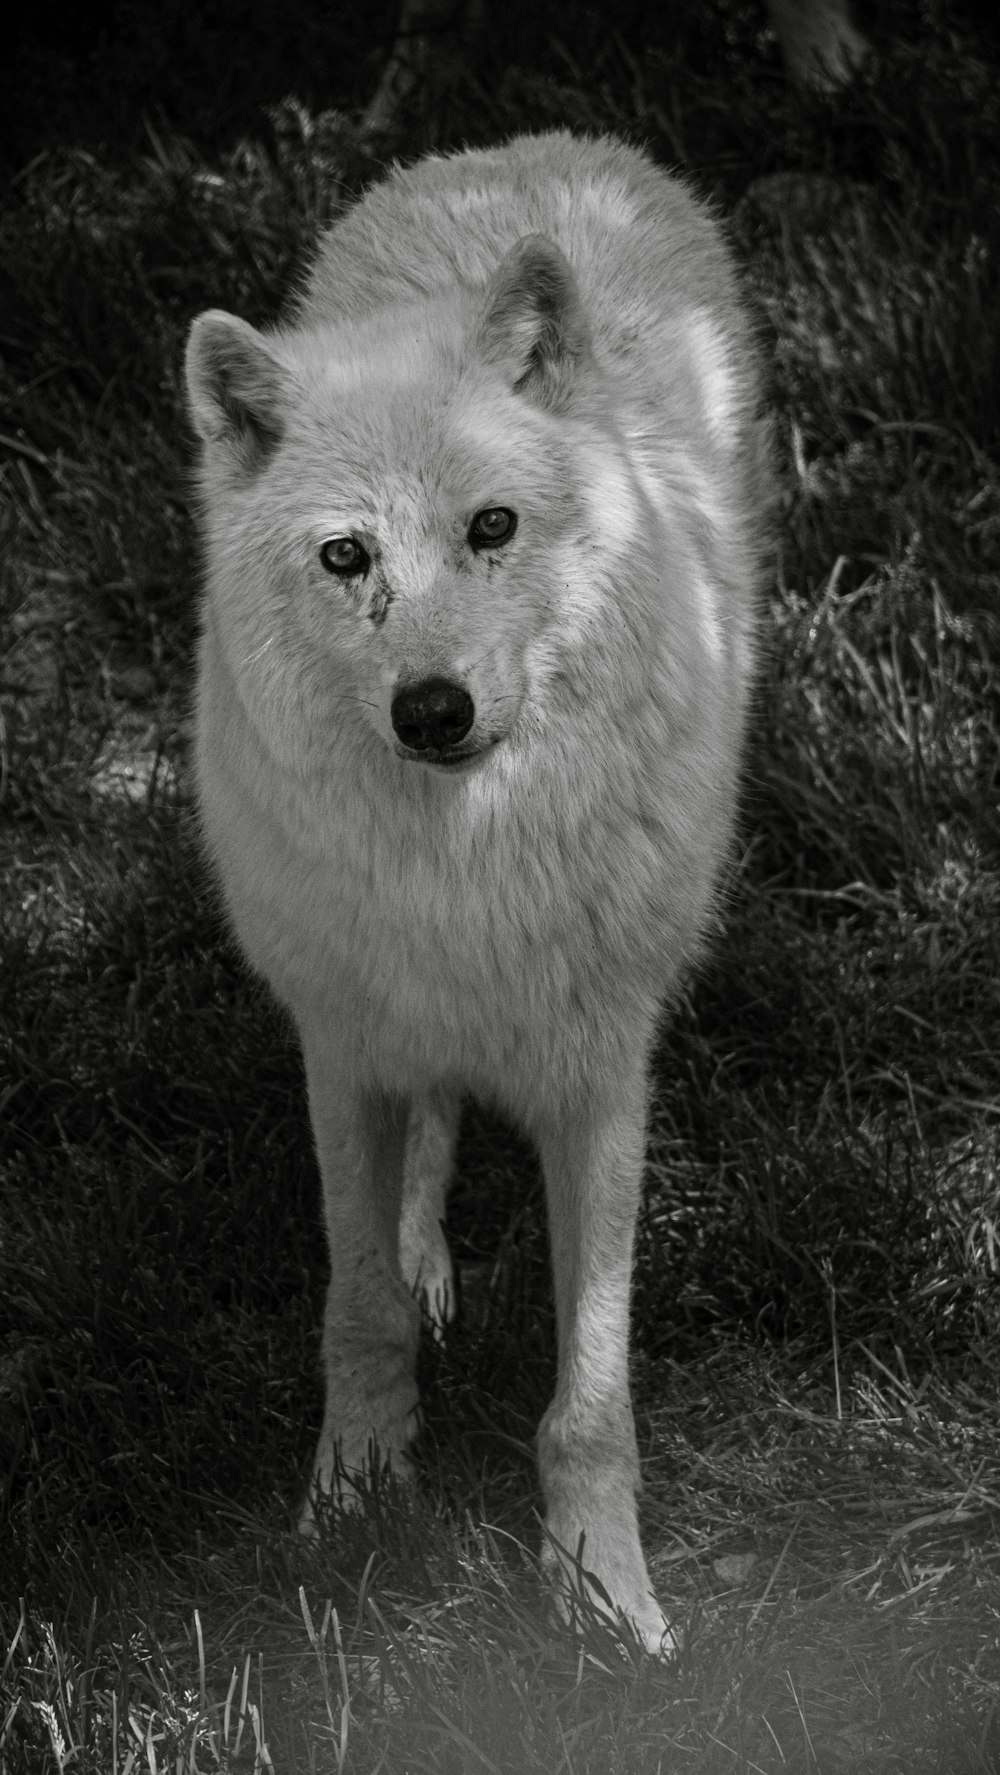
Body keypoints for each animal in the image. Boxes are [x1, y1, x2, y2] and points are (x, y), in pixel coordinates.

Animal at [183, 128, 770, 1647]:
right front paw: (349, 1503)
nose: (432, 708)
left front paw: (602, 1590)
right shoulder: (341, 1049)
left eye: (492, 527)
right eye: (347, 556)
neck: (464, 867)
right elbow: (357, 1307)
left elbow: (591, 1399)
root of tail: (533, 148)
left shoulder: (600, 1081)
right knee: (423, 1151)